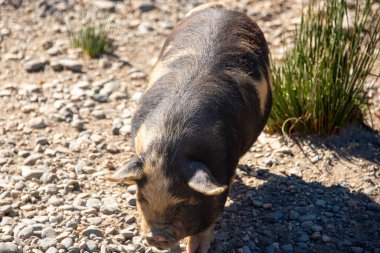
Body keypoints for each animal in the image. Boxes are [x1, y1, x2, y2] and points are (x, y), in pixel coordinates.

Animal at [110, 2, 274, 253]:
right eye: (142, 198)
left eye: (183, 202)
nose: (157, 237)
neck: (170, 141)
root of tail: (222, 8)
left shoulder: (223, 167)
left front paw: (196, 248)